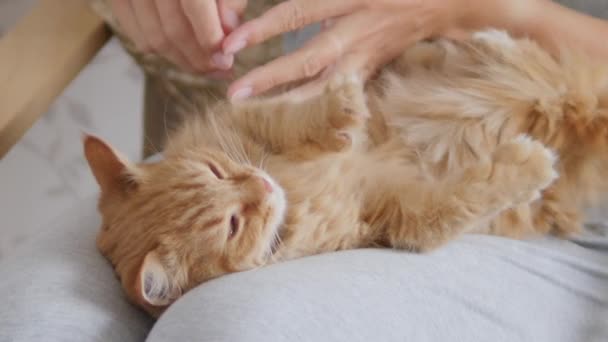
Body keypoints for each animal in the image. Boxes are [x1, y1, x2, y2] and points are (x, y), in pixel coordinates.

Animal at [82, 30, 608, 316]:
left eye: (215, 171)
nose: (261, 186)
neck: (294, 193)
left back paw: (482, 42)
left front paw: (345, 103)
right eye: (232, 224)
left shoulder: (248, 116)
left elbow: (294, 118)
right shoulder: (409, 218)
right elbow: (473, 193)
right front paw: (530, 163)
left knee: (520, 58)